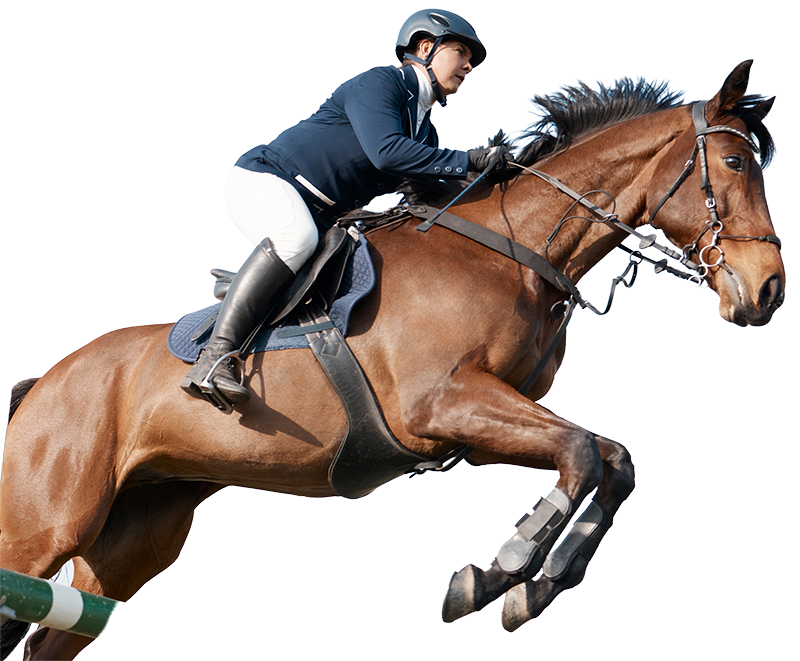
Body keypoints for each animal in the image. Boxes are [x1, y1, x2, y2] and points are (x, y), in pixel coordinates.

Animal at [0, 60, 784, 660]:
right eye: (736, 162)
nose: (769, 291)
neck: (513, 248)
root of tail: (44, 383)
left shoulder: (474, 422)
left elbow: (610, 459)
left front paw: (527, 591)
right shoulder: (441, 403)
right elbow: (585, 454)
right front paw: (492, 576)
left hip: (132, 544)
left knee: (47, 636)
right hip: (44, 526)